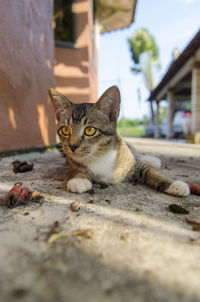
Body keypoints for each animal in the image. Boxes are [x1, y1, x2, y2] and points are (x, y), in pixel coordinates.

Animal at [48, 86, 189, 197]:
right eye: (65, 130)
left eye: (90, 130)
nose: (72, 146)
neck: (99, 155)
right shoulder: (68, 159)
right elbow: (71, 167)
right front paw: (78, 178)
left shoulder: (131, 162)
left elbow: (149, 171)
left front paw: (174, 184)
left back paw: (151, 160)